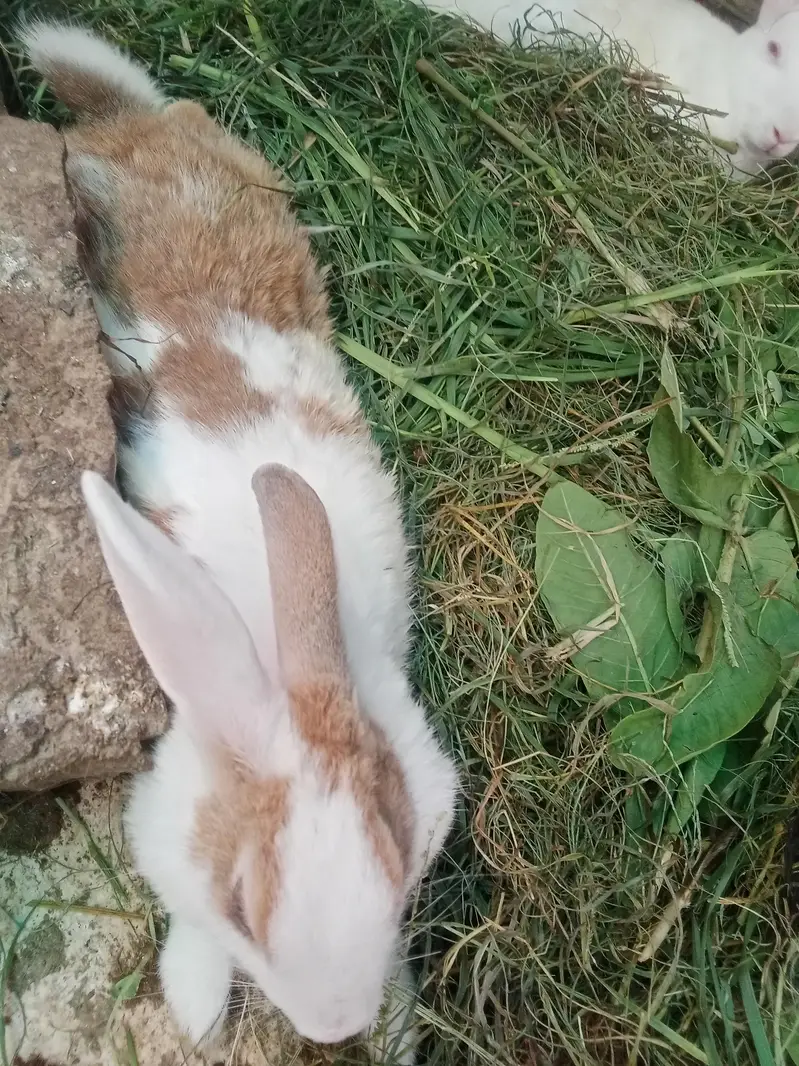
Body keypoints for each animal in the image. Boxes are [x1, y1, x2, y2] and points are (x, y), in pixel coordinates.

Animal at [20, 19, 458, 1063]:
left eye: (400, 850)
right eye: (242, 902)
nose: (334, 1024)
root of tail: (136, 122)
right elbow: (188, 925)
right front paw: (195, 1003)